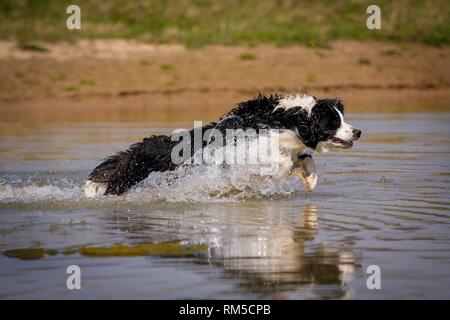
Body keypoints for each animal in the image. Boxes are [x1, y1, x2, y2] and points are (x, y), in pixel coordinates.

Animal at [84, 93, 362, 198]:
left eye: (343, 117)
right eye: (333, 122)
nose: (358, 132)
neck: (292, 118)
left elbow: (304, 159)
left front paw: (309, 178)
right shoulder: (249, 148)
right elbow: (279, 162)